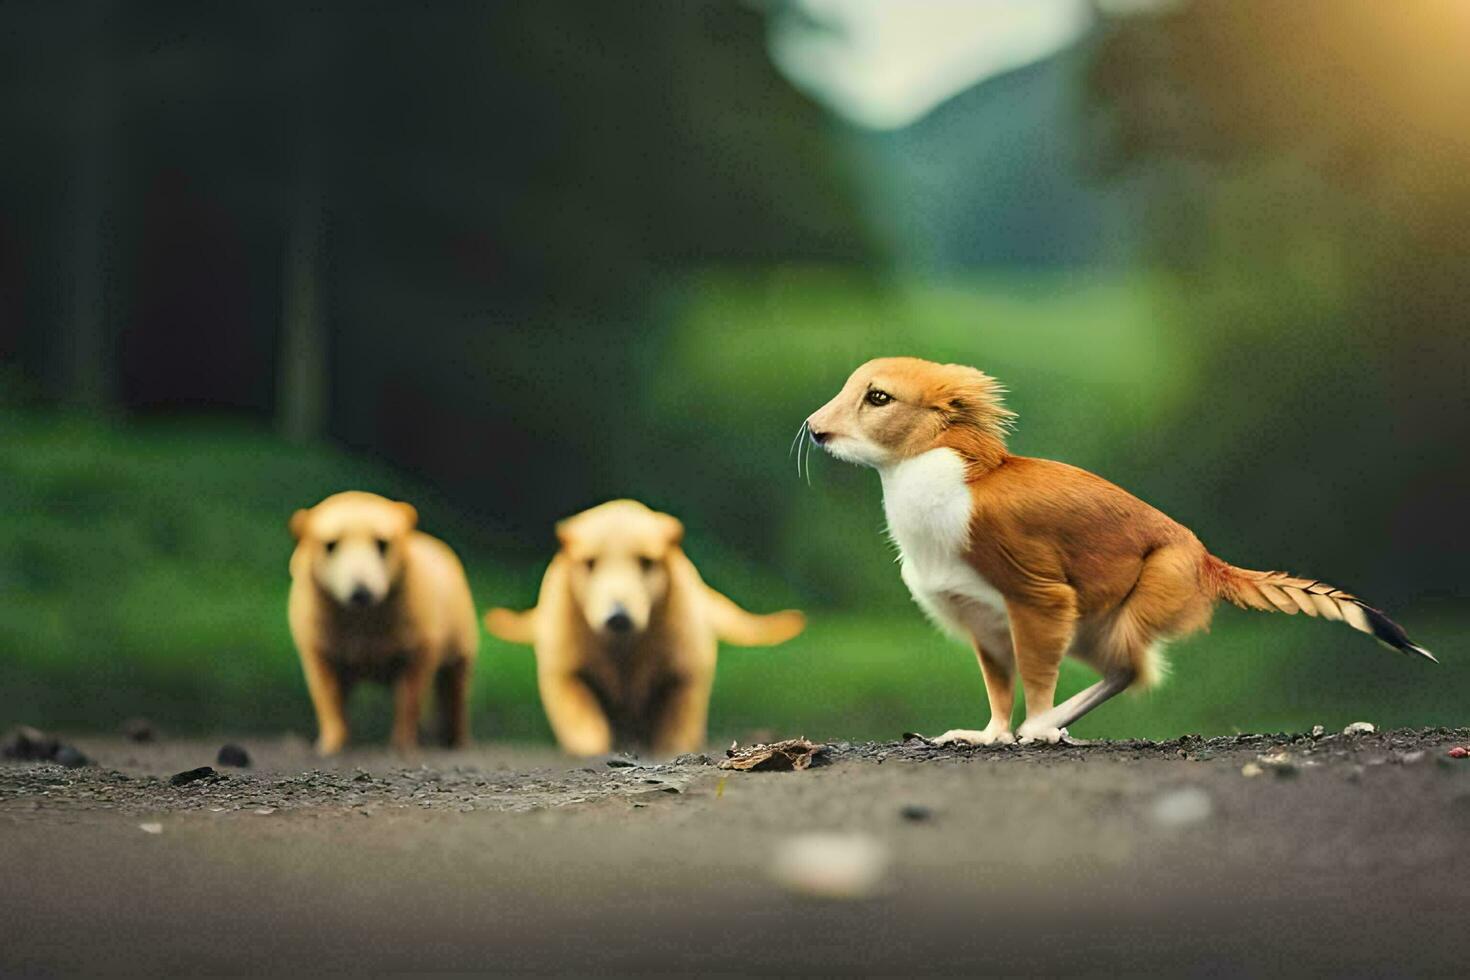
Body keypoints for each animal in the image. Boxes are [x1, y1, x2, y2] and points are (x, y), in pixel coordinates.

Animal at [282, 493, 476, 758]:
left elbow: (410, 697)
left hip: (461, 643)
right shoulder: (317, 646)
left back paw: (456, 741)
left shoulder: (421, 644)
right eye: (330, 544)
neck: (363, 624)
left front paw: (403, 744)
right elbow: (327, 695)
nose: (361, 592)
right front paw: (331, 744)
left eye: (382, 543)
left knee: (455, 690)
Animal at [482, 502, 805, 758]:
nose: (618, 617)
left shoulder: (685, 670)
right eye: (589, 563)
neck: (623, 650)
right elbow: (579, 710)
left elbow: (678, 715)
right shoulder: (564, 668)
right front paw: (593, 745)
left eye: (647, 561)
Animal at [805, 357, 1434, 746]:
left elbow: (1035, 671)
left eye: (878, 397)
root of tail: (1209, 564)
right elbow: (998, 684)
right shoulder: (981, 615)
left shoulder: (1038, 594)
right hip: (1095, 623)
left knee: (1132, 667)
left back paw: (1049, 728)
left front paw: (1034, 728)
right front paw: (987, 737)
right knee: (1121, 670)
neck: (954, 480)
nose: (813, 428)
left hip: (1142, 595)